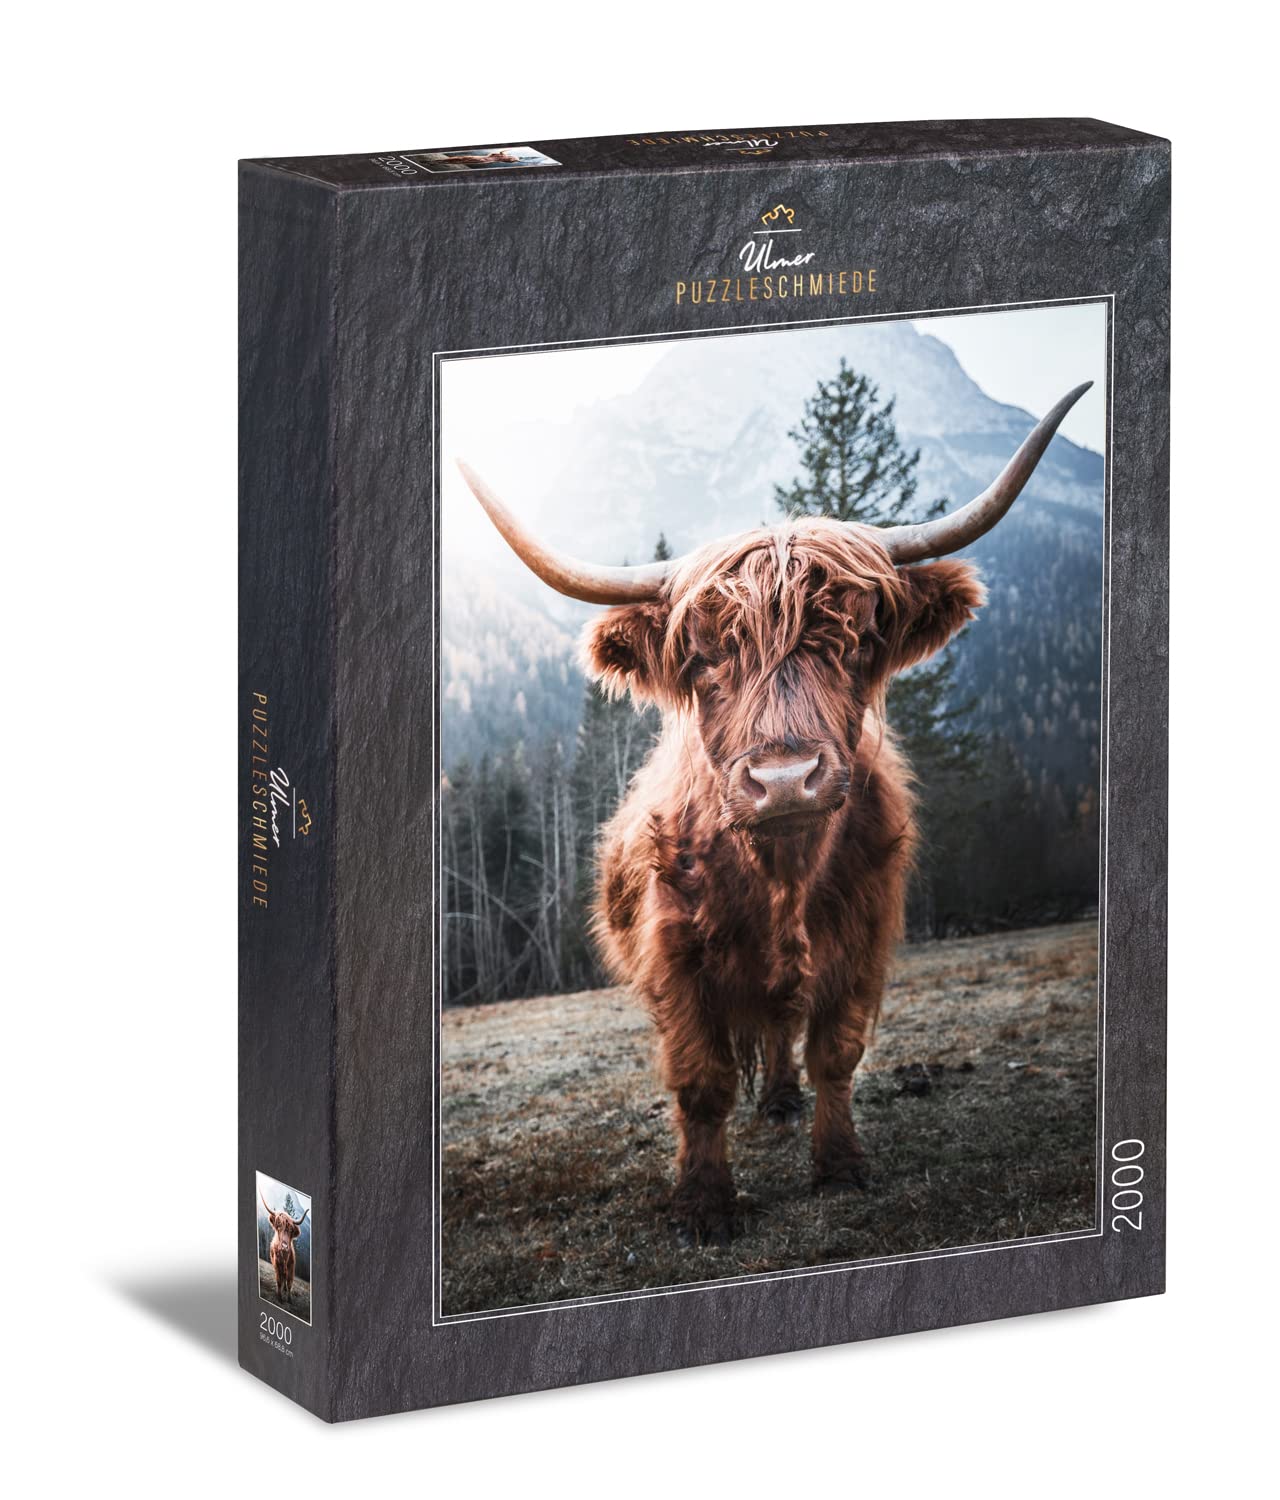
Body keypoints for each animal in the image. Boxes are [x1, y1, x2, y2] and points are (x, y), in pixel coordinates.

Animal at [457, 380, 1089, 1244]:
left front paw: (840, 1165)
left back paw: (785, 1100)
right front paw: (703, 1204)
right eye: (702, 657)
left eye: (856, 640)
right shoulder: (674, 957)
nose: (786, 780)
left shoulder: (863, 939)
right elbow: (701, 1081)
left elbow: (836, 1053)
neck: (780, 875)